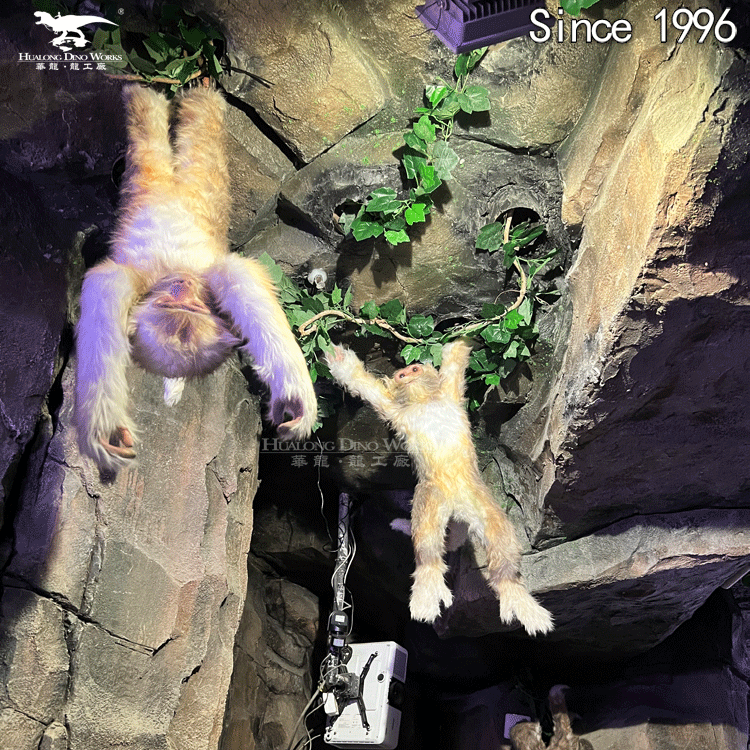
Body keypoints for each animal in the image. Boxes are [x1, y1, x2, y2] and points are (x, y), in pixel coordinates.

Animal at [75, 84, 317, 471]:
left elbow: (242, 280)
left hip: (198, 185)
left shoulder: (211, 277)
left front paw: (295, 399)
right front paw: (105, 430)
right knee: (151, 144)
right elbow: (103, 293)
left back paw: (190, 95)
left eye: (193, 309)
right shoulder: (128, 282)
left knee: (195, 136)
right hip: (152, 181)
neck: (174, 271)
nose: (183, 286)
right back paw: (149, 95)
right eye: (170, 304)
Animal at [325, 340, 553, 636]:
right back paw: (427, 589)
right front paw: (339, 358)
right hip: (430, 497)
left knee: (494, 537)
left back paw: (514, 593)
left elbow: (455, 360)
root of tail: (455, 508)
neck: (426, 401)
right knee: (428, 544)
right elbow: (361, 383)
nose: (405, 374)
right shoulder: (395, 410)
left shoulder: (451, 393)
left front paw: (462, 339)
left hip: (476, 500)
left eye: (413, 369)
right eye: (402, 373)